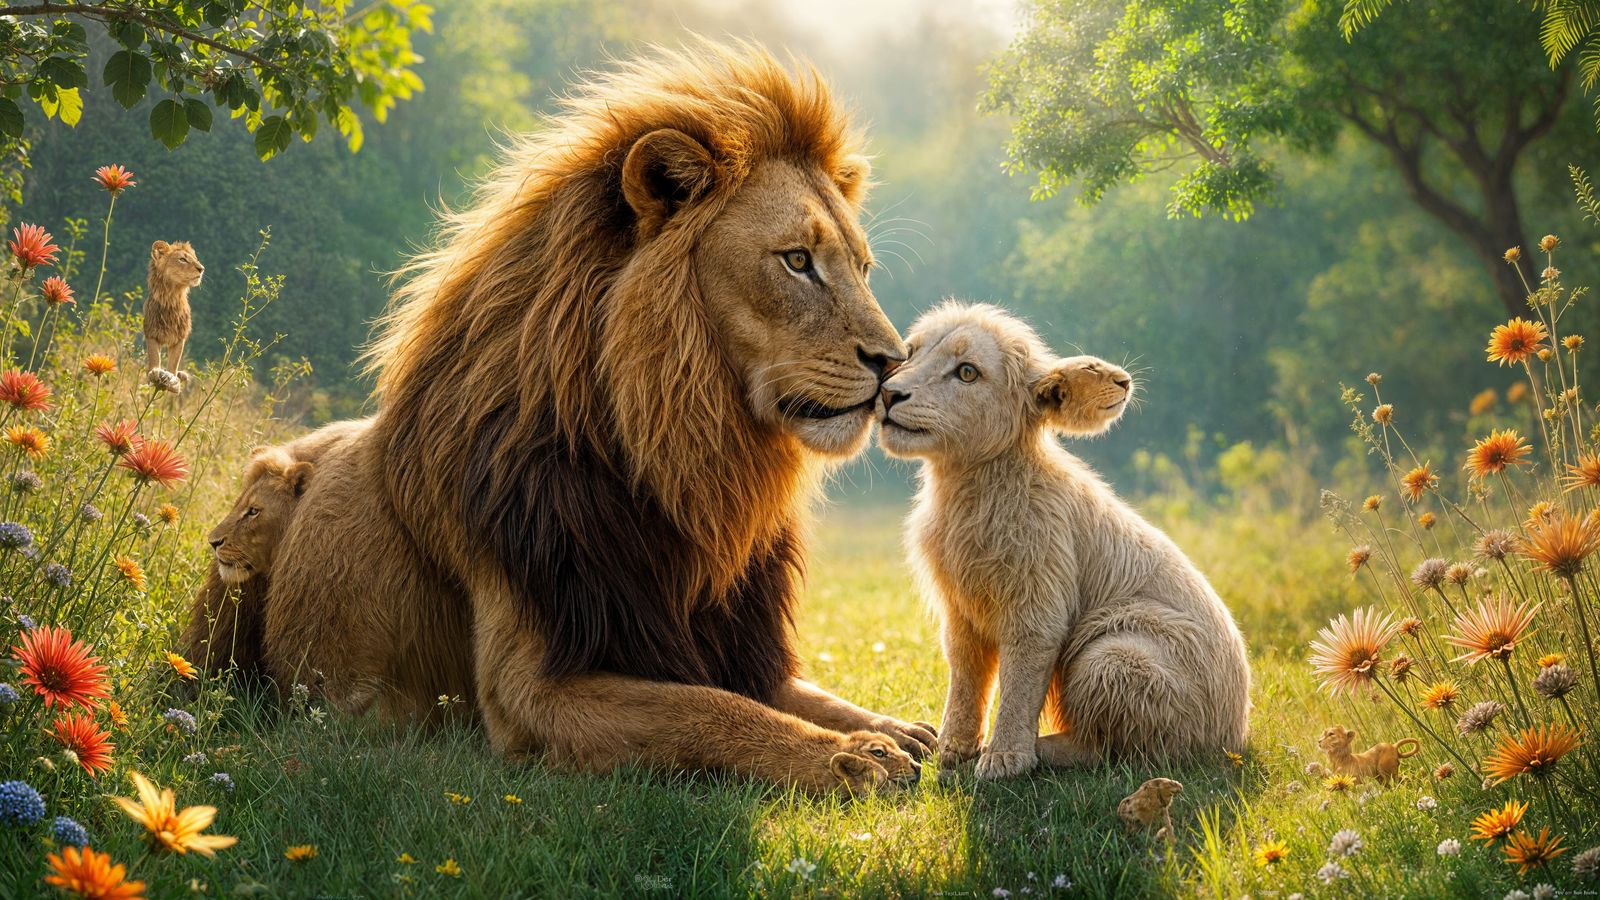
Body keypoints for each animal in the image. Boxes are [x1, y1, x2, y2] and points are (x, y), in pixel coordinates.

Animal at [145, 240, 204, 386]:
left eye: (196, 259)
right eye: (182, 259)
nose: (202, 268)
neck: (171, 297)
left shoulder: (180, 337)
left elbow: (173, 363)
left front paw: (171, 378)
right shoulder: (151, 333)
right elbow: (154, 357)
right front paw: (154, 373)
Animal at [263, 43, 936, 792]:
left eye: (862, 268)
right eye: (796, 261)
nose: (894, 362)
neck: (691, 469)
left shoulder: (732, 640)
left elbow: (802, 694)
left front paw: (890, 728)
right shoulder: (528, 691)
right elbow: (708, 710)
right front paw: (850, 757)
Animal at [878, 302, 1250, 778]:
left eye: (967, 372)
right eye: (910, 352)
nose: (889, 395)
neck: (974, 488)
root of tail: (1233, 735)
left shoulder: (1039, 600)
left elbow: (1020, 681)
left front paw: (1002, 760)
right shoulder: (959, 610)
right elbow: (965, 674)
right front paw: (953, 749)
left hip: (1113, 657)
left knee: (1117, 750)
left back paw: (1043, 752)